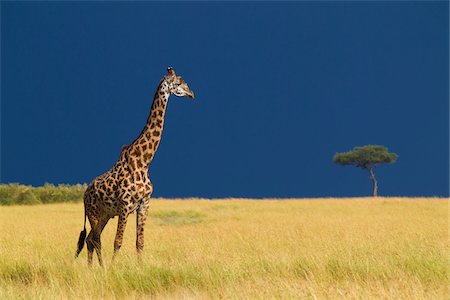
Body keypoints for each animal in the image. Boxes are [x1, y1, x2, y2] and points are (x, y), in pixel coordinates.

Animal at [74, 67, 194, 264]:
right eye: (178, 83)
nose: (192, 94)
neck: (144, 162)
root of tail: (84, 194)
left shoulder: (144, 204)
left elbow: (140, 242)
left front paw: (140, 266)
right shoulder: (125, 205)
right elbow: (118, 242)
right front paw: (114, 267)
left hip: (105, 214)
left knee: (91, 239)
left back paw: (94, 268)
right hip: (94, 213)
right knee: (95, 239)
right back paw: (102, 267)